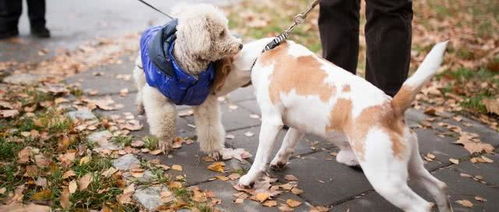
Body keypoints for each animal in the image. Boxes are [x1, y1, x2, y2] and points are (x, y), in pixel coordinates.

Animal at [236, 38, 452, 212]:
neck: (267, 50)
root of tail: (391, 106)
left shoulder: (271, 121)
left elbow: (260, 158)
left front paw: (248, 179)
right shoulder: (299, 125)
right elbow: (287, 144)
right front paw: (279, 162)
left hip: (386, 181)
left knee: (423, 206)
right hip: (412, 167)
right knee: (440, 187)